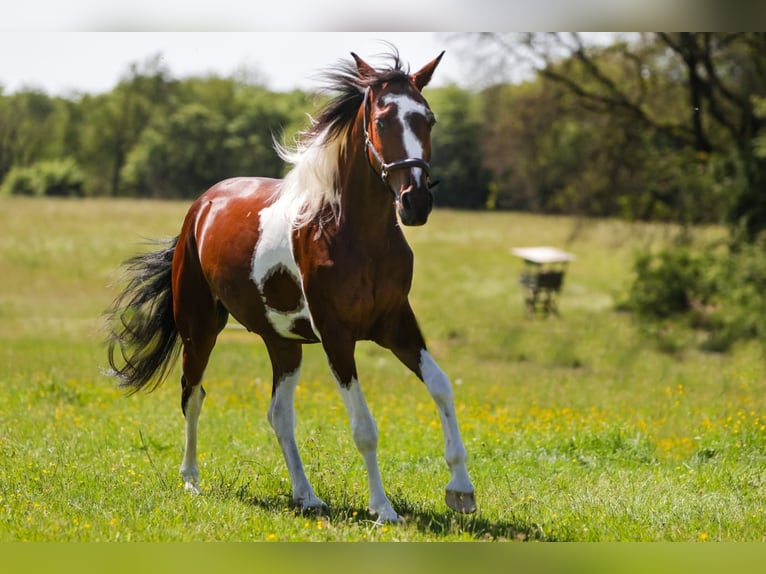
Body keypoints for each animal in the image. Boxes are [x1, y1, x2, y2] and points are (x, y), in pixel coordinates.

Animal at [106, 50, 480, 528]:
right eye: (381, 120)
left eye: (427, 118)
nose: (415, 202)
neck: (353, 234)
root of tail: (201, 206)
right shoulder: (337, 336)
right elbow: (364, 427)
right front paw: (383, 508)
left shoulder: (396, 324)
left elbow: (441, 386)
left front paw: (461, 491)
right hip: (199, 327)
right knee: (192, 394)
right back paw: (191, 480)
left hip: (283, 342)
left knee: (279, 415)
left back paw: (307, 496)